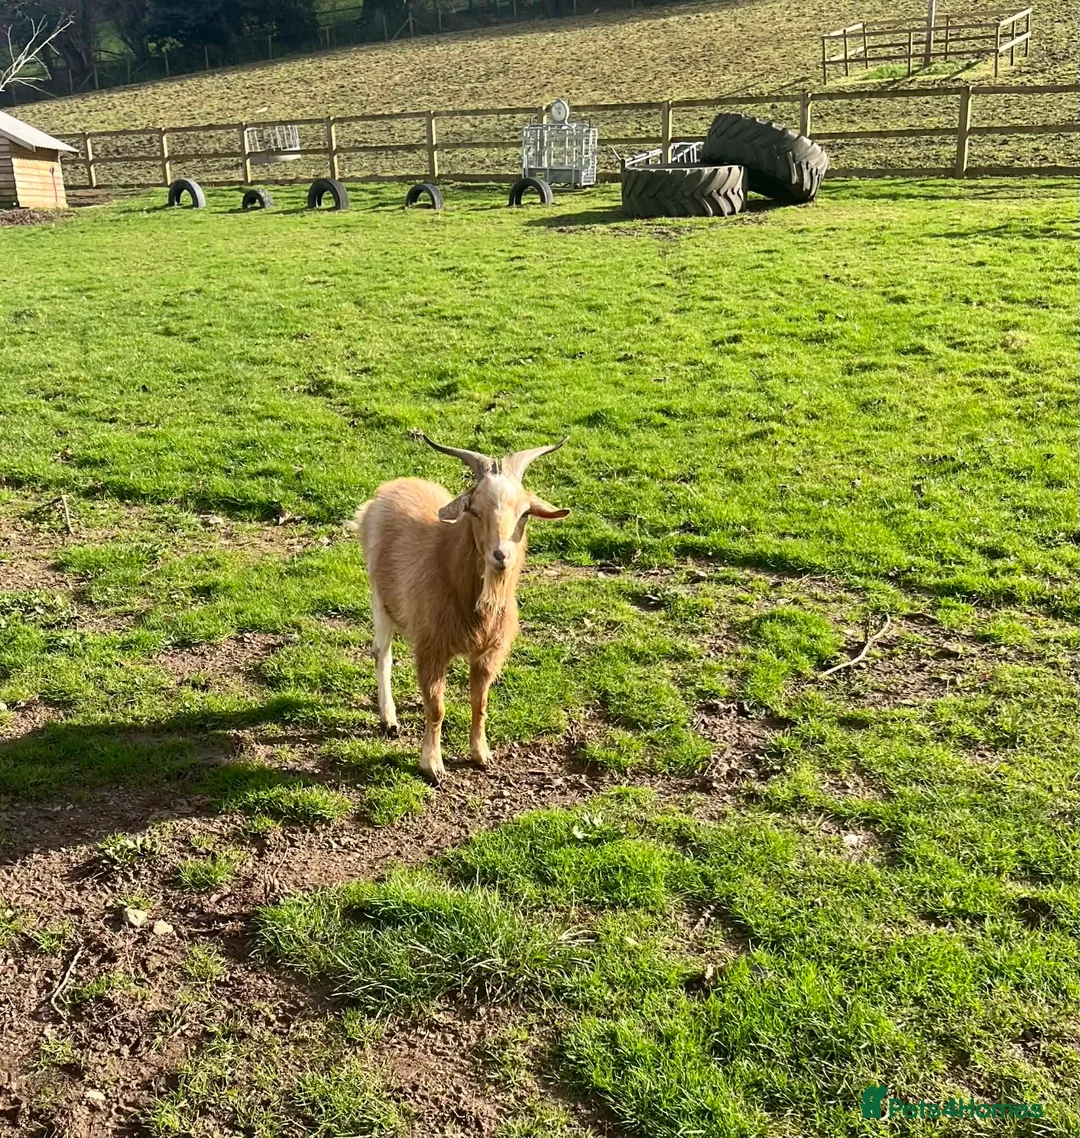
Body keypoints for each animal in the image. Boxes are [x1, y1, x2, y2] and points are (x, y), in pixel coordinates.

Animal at [352, 435, 569, 784]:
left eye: (524, 513)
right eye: (475, 511)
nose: (501, 555)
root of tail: (389, 488)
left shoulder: (488, 654)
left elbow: (479, 703)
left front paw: (481, 754)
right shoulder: (432, 649)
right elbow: (436, 707)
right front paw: (432, 765)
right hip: (379, 597)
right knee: (381, 652)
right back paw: (390, 719)